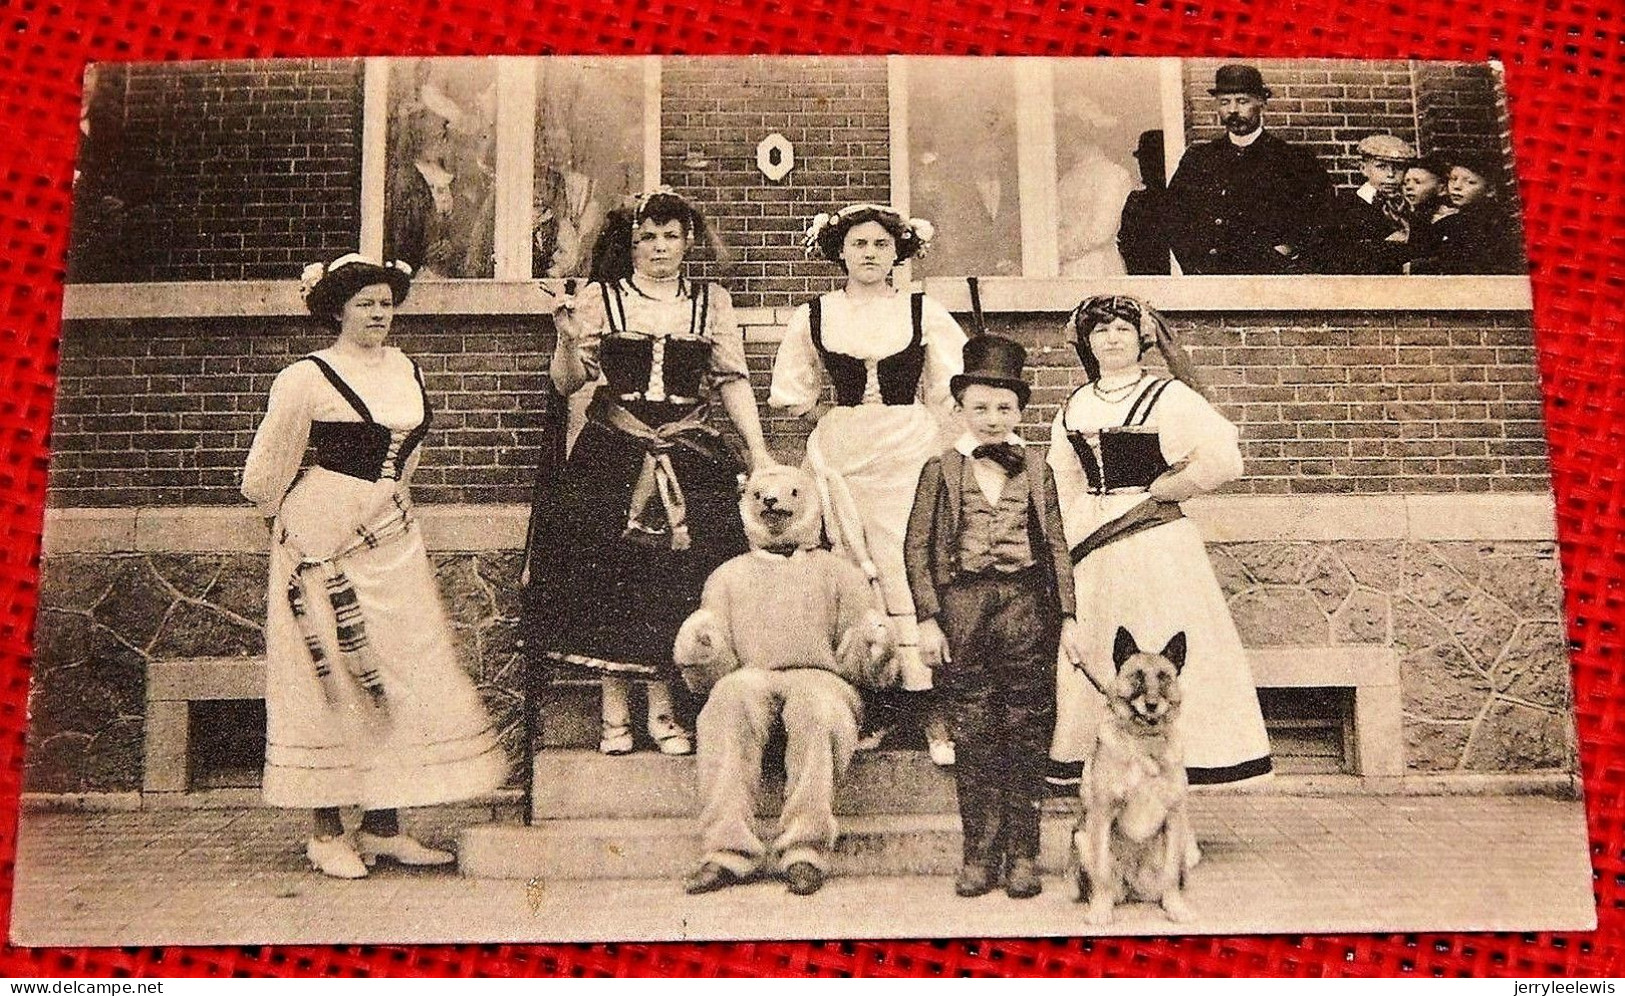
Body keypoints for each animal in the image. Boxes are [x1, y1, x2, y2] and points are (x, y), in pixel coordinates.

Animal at [1066, 623, 1196, 922]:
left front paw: (1175, 907)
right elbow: (1101, 872)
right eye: (1137, 676)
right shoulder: (1102, 813)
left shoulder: (1174, 816)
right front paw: (1100, 910)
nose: (1151, 705)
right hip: (1081, 837)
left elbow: (1170, 875)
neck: (1144, 743)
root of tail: (1133, 886)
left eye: (1164, 678)